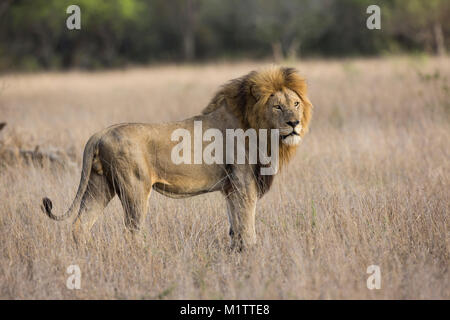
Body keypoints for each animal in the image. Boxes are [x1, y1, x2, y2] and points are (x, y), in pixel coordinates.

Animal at [40, 67, 312, 250]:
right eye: (277, 106)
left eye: (296, 104)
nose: (294, 123)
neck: (260, 130)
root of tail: (100, 134)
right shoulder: (244, 183)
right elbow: (247, 225)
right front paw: (251, 254)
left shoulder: (230, 188)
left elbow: (235, 224)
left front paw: (235, 252)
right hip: (135, 188)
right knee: (131, 230)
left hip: (100, 184)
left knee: (81, 224)